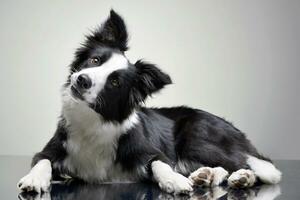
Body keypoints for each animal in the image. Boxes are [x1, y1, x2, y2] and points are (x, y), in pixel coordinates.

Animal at [18, 10, 282, 195]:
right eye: (95, 60)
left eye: (115, 82)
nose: (82, 80)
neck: (93, 120)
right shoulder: (50, 150)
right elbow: (42, 161)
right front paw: (34, 179)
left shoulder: (151, 152)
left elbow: (160, 163)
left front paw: (173, 180)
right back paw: (205, 176)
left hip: (197, 135)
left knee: (253, 165)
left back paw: (242, 177)